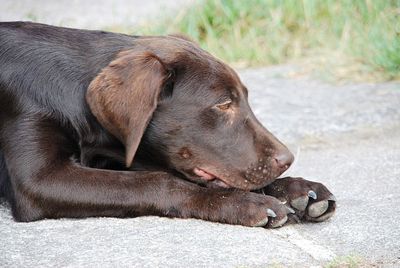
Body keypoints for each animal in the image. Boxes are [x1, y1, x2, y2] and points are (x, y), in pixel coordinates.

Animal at [0, 22, 334, 227]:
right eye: (223, 104)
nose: (287, 160)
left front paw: (297, 189)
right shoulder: (39, 179)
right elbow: (157, 180)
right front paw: (244, 203)